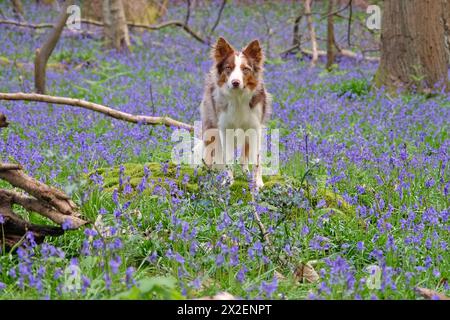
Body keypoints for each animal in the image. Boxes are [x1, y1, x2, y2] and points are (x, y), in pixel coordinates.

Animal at [200, 37, 270, 190]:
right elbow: (228, 158)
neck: (238, 97)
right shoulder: (225, 128)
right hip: (211, 125)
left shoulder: (255, 127)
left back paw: (246, 173)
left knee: (244, 155)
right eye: (228, 68)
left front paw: (257, 183)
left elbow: (257, 159)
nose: (235, 82)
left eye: (245, 69)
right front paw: (228, 182)